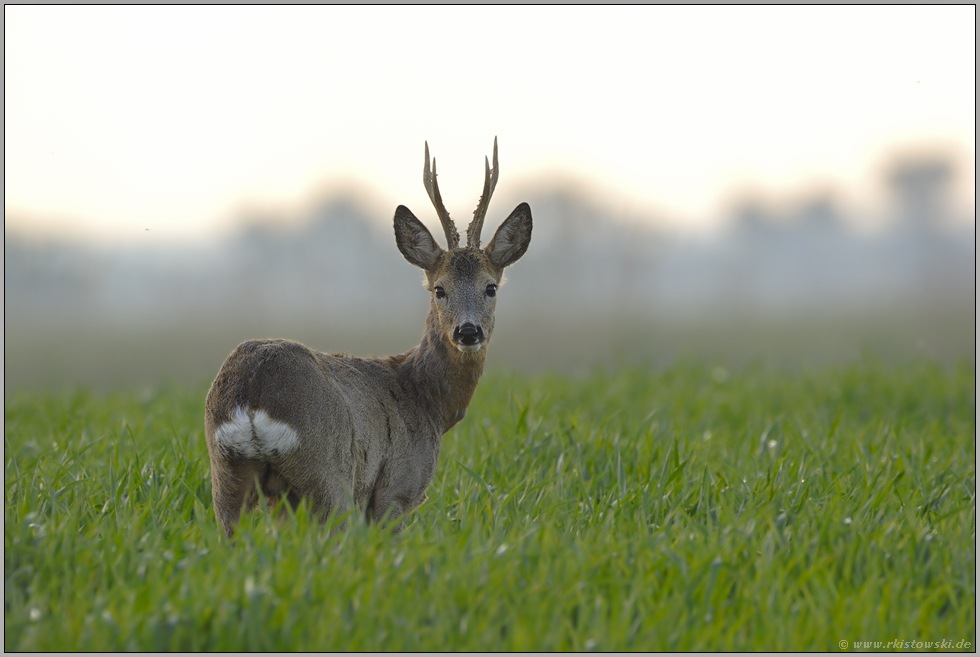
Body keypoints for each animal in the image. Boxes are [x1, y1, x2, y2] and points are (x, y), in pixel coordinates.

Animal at [202, 138, 532, 540]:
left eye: (490, 287)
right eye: (439, 289)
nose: (467, 331)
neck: (428, 401)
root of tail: (252, 395)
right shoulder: (397, 487)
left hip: (227, 475)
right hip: (329, 474)